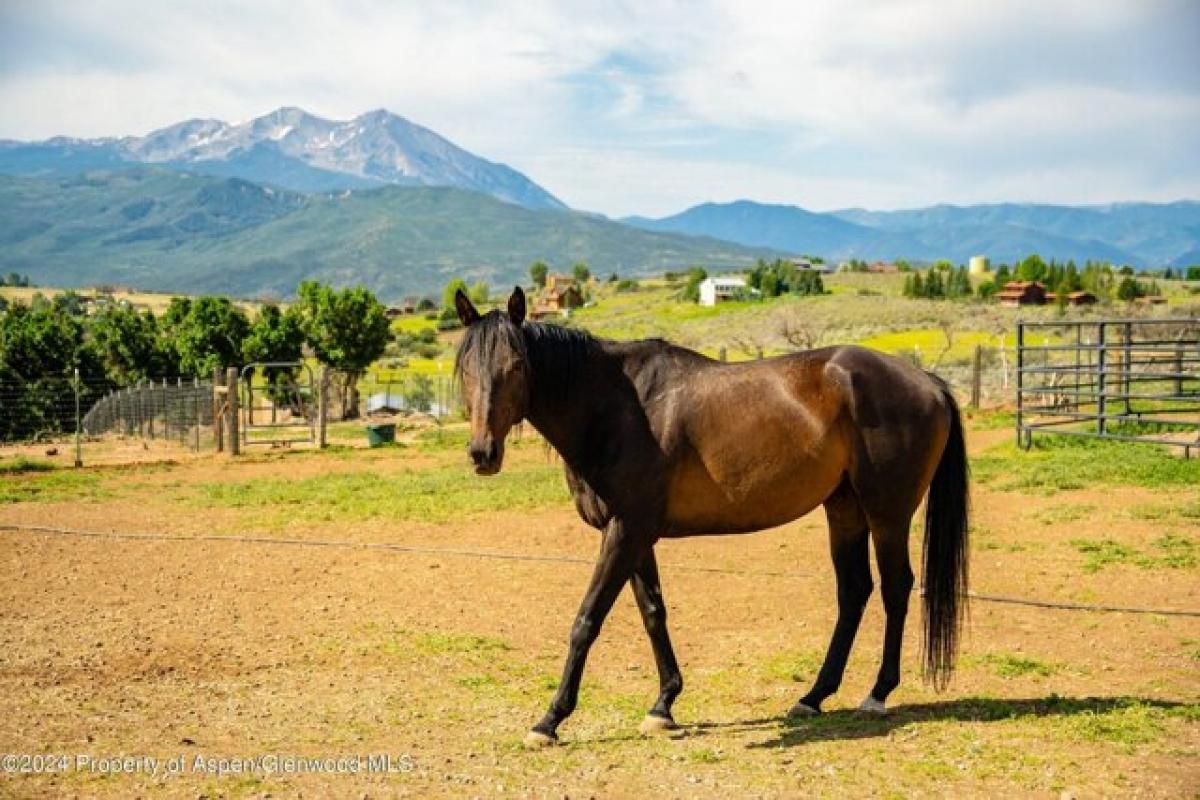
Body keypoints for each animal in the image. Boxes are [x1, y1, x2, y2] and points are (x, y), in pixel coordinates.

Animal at [451, 284, 964, 748]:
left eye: (517, 366)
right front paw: (663, 706)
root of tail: (929, 382)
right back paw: (813, 696)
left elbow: (587, 621)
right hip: (844, 510)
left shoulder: (625, 532)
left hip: (887, 514)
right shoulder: (635, 535)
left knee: (896, 588)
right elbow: (653, 613)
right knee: (854, 592)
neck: (619, 407)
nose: (483, 454)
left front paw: (550, 720)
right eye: (465, 370)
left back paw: (877, 694)